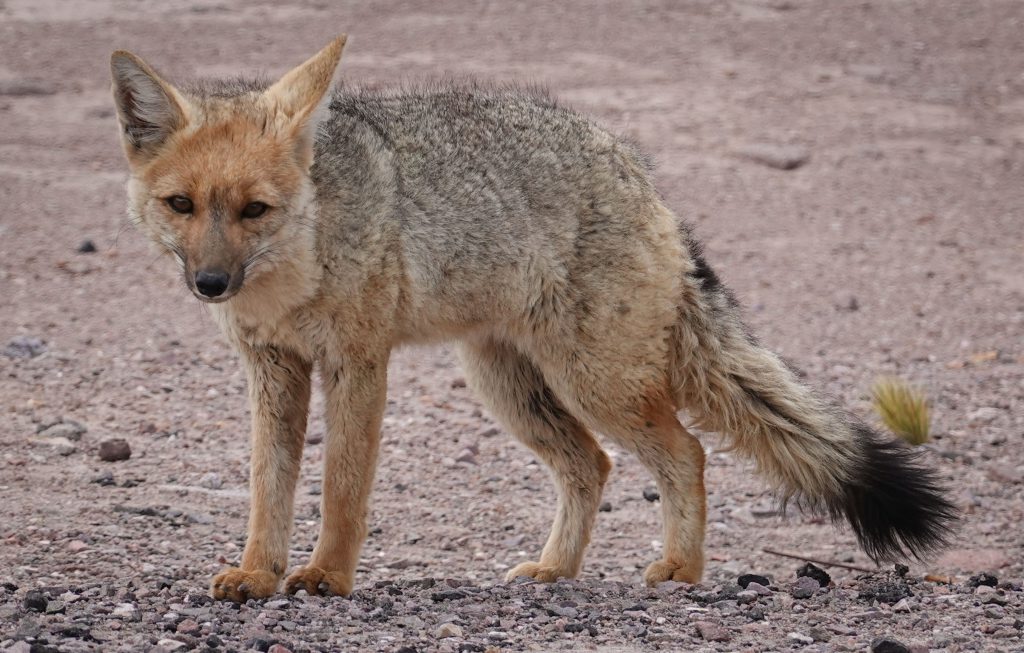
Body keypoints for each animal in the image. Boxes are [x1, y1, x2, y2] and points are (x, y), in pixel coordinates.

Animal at [110, 36, 955, 602]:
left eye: (255, 210)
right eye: (181, 205)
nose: (210, 283)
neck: (290, 276)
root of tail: (642, 173)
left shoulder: (359, 362)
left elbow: (344, 484)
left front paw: (326, 575)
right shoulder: (272, 368)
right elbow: (268, 484)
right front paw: (259, 572)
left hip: (596, 382)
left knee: (685, 452)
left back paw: (680, 568)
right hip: (510, 385)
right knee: (593, 465)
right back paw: (556, 569)